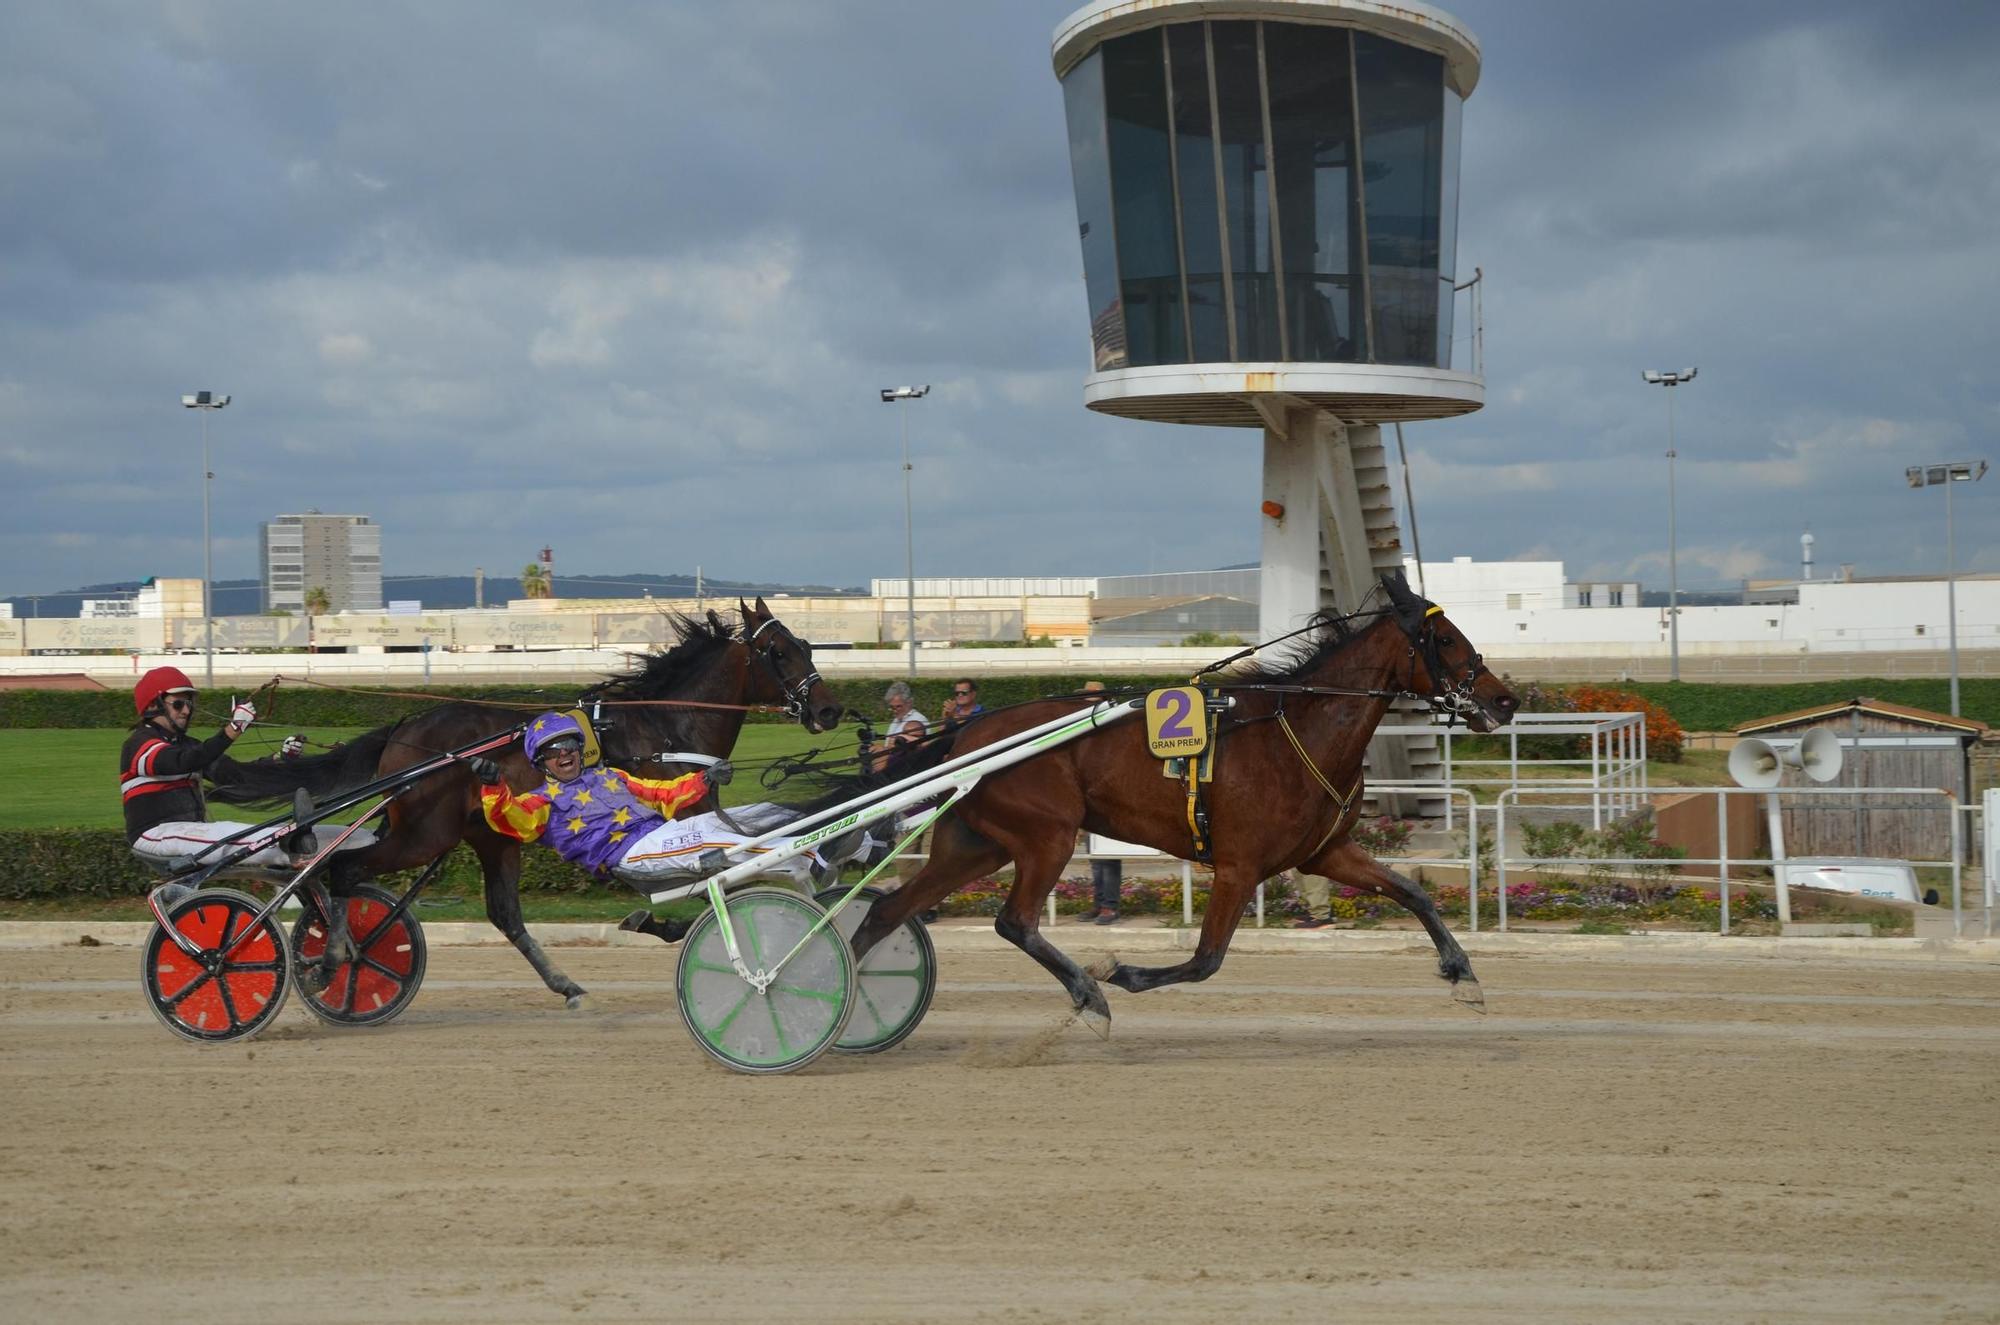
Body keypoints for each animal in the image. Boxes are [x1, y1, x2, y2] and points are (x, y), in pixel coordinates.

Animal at [213, 596, 844, 1012]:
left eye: (806, 644)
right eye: (778, 651)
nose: (828, 710)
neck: (665, 725)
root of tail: (405, 729)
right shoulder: (678, 827)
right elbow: (720, 883)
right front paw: (662, 923)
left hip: (488, 837)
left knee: (503, 914)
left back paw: (563, 983)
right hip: (425, 832)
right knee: (341, 869)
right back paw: (332, 958)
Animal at [844, 572, 1512, 1040]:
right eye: (1446, 639)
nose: (1506, 700)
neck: (1296, 728)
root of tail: (967, 736)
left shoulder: (1324, 853)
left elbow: (1414, 892)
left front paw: (1465, 976)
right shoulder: (1240, 867)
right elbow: (1205, 960)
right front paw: (1123, 975)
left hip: (976, 845)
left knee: (887, 912)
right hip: (1047, 836)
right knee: (1014, 922)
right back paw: (1089, 995)